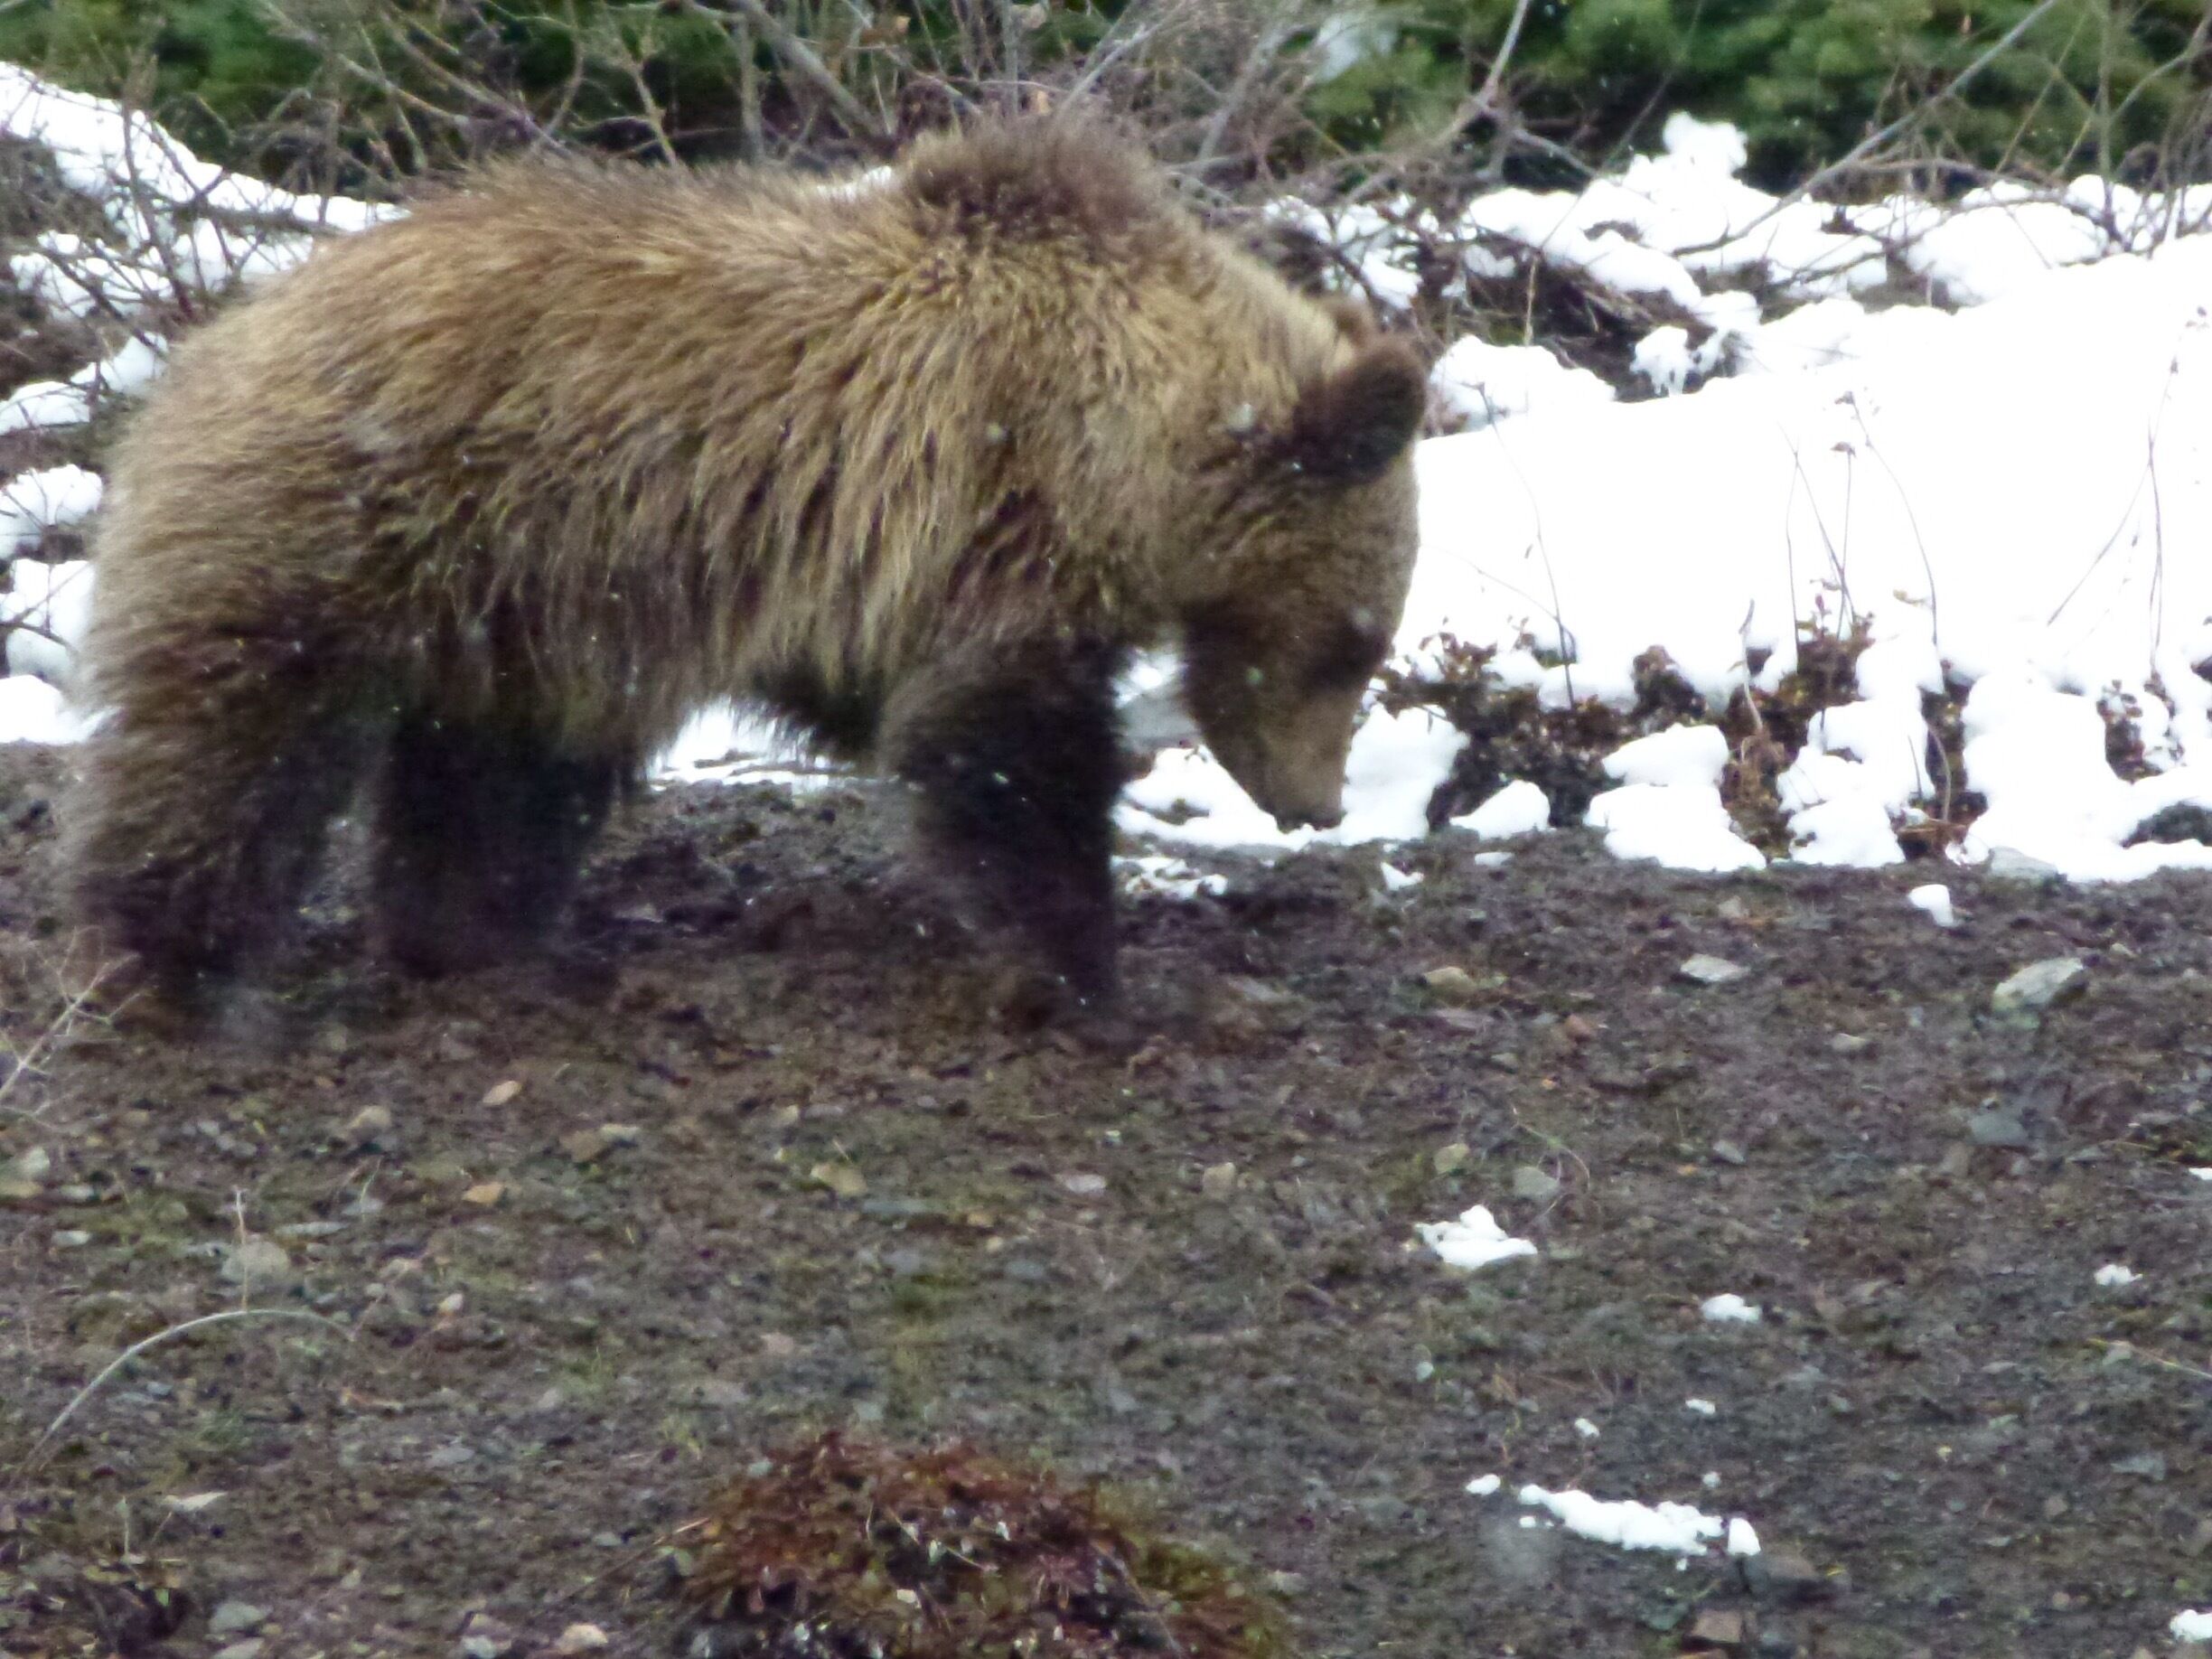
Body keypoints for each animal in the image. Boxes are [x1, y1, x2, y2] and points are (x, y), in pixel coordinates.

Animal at [65, 114, 1425, 1021]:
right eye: (1354, 640)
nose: (1320, 803)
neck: (1130, 446)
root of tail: (216, 333)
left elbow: (889, 701)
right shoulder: (997, 525)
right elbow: (1002, 748)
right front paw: (1088, 970)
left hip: (519, 595)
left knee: (500, 766)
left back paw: (482, 938)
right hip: (351, 516)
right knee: (236, 741)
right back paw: (177, 959)